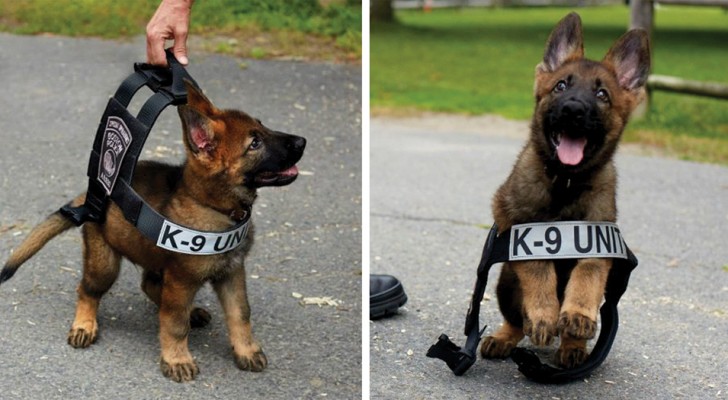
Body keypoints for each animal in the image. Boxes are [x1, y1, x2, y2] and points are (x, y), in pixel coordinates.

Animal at [0, 80, 308, 382]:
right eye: (255, 143)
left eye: (263, 127)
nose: (302, 141)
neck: (214, 207)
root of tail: (90, 196)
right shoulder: (182, 280)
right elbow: (174, 323)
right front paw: (177, 359)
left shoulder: (232, 273)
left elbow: (240, 314)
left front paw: (246, 350)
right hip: (105, 263)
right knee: (88, 289)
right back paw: (84, 325)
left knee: (150, 286)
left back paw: (190, 312)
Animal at [480, 13, 652, 368]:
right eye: (561, 86)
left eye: (602, 94)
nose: (573, 109)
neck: (565, 182)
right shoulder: (518, 226)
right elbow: (539, 269)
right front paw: (544, 314)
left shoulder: (598, 237)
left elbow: (587, 274)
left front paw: (576, 315)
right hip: (506, 281)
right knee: (517, 322)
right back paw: (506, 336)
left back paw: (573, 344)